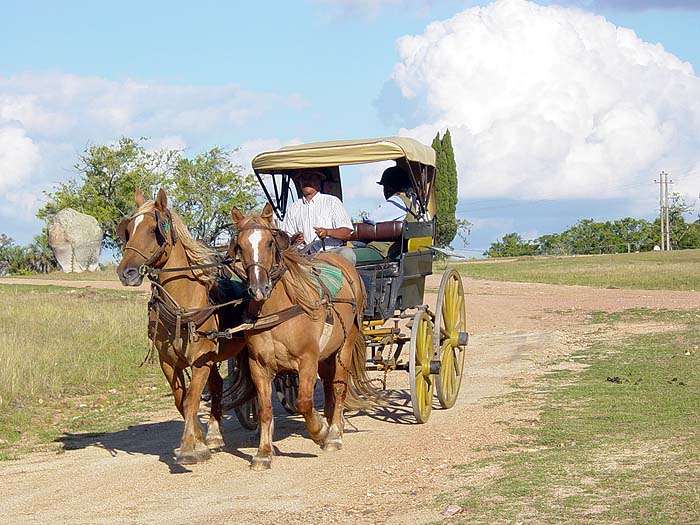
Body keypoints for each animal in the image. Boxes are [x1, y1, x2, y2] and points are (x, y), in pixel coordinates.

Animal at [118, 187, 252, 462]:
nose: (127, 272)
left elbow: (191, 400)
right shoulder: (168, 362)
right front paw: (199, 442)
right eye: (129, 229)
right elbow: (181, 400)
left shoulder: (201, 360)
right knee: (217, 385)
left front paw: (190, 448)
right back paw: (214, 434)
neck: (182, 307)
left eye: (154, 229)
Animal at [230, 203, 382, 468]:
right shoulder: (258, 365)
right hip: (326, 355)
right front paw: (263, 452)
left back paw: (333, 434)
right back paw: (335, 423)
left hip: (345, 345)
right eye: (239, 245)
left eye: (269, 242)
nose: (258, 289)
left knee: (339, 388)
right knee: (330, 387)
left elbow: (304, 401)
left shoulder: (307, 359)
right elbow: (265, 409)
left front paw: (320, 431)